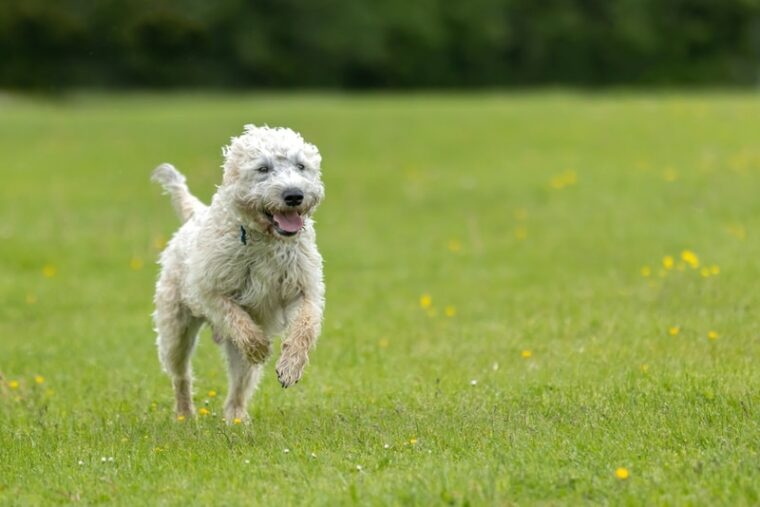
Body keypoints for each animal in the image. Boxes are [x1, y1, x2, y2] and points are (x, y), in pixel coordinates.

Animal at [151, 125, 324, 422]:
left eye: (301, 165)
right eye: (263, 168)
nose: (294, 195)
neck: (266, 239)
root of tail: (195, 214)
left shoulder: (304, 288)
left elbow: (305, 325)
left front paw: (290, 366)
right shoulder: (209, 290)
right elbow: (234, 316)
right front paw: (258, 346)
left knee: (239, 386)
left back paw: (236, 419)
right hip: (175, 328)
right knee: (181, 374)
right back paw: (185, 414)